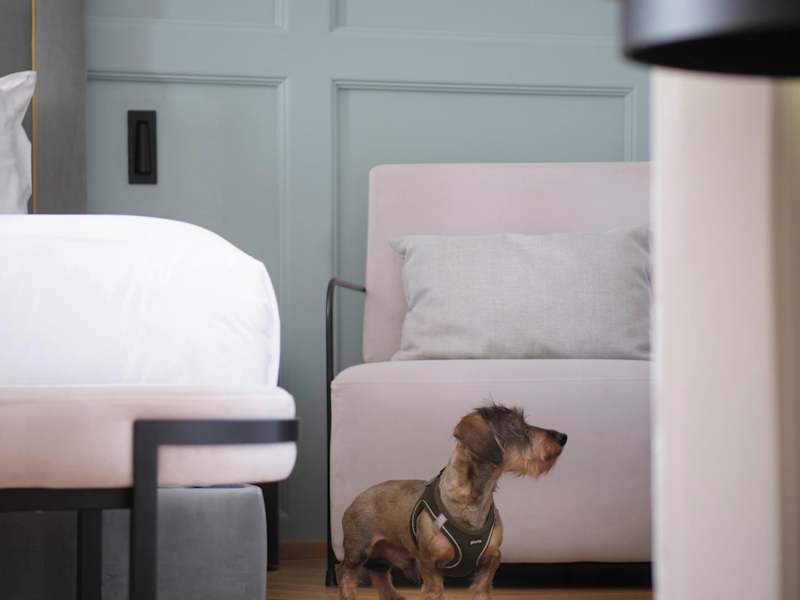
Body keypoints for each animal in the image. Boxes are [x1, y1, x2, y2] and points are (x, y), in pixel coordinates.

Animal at [338, 404, 568, 600]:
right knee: (346, 576)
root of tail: (355, 499)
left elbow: (482, 590)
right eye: (517, 426)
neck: (469, 503)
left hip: (382, 556)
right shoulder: (430, 565)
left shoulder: (491, 560)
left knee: (380, 575)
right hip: (359, 550)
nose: (563, 437)